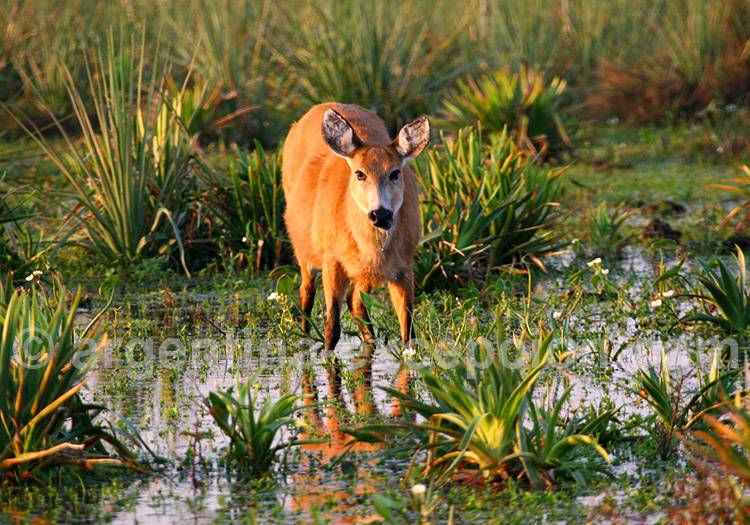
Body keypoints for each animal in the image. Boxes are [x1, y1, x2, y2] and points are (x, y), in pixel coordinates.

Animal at [281, 103, 429, 351]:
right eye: (360, 173)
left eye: (395, 172)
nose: (380, 214)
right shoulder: (332, 260)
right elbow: (332, 329)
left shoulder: (403, 266)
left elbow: (408, 331)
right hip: (305, 251)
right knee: (306, 291)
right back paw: (303, 339)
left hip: (363, 273)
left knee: (354, 300)